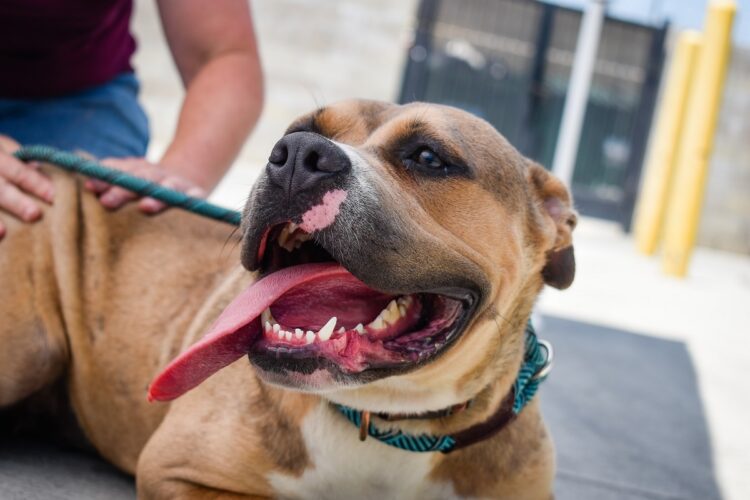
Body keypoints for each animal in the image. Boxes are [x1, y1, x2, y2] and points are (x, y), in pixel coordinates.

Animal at [0, 99, 576, 498]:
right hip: (27, 349)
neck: (389, 418)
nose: (299, 154)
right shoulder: (176, 471)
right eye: (298, 133)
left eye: (429, 157)